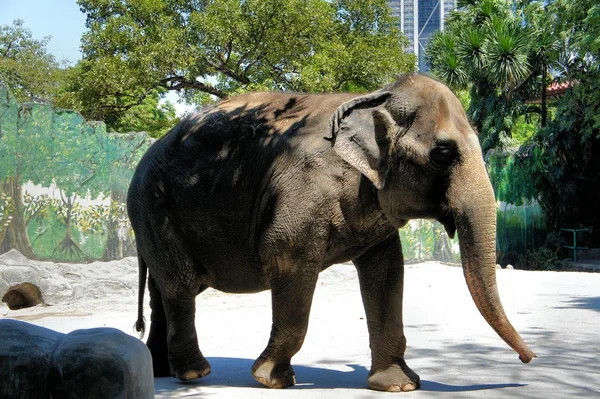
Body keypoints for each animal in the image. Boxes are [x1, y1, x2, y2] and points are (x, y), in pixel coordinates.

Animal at [126, 73, 536, 392]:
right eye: (443, 153)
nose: (528, 359)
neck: (373, 97)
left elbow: (387, 271)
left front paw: (399, 385)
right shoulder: (303, 191)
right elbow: (288, 258)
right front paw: (270, 380)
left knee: (163, 291)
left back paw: (162, 371)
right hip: (153, 207)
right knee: (180, 287)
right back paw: (195, 373)